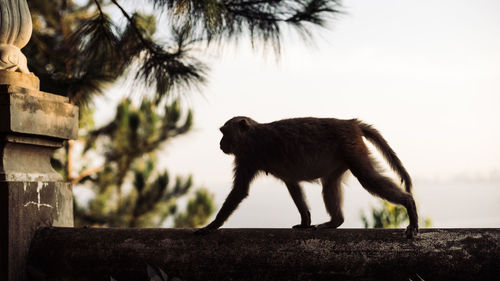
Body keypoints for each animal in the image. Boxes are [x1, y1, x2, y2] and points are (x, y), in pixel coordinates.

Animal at [195, 115, 418, 236]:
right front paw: (305, 221)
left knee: (367, 177)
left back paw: (409, 206)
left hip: (351, 148)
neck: (250, 135)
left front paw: (211, 226)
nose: (220, 143)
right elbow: (292, 184)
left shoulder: (248, 156)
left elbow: (240, 191)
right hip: (343, 156)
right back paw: (334, 222)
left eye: (224, 133)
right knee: (329, 184)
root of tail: (351, 123)